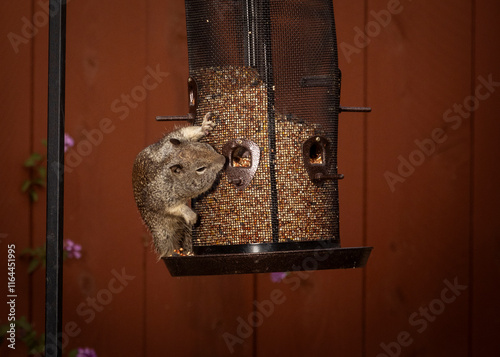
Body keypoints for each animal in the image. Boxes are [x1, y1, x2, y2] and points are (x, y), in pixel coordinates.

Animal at [133, 112, 227, 258]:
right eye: (200, 169)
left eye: (205, 146)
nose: (223, 159)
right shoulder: (159, 196)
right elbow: (173, 207)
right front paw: (190, 215)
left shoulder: (169, 142)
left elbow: (185, 132)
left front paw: (204, 126)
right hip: (161, 231)